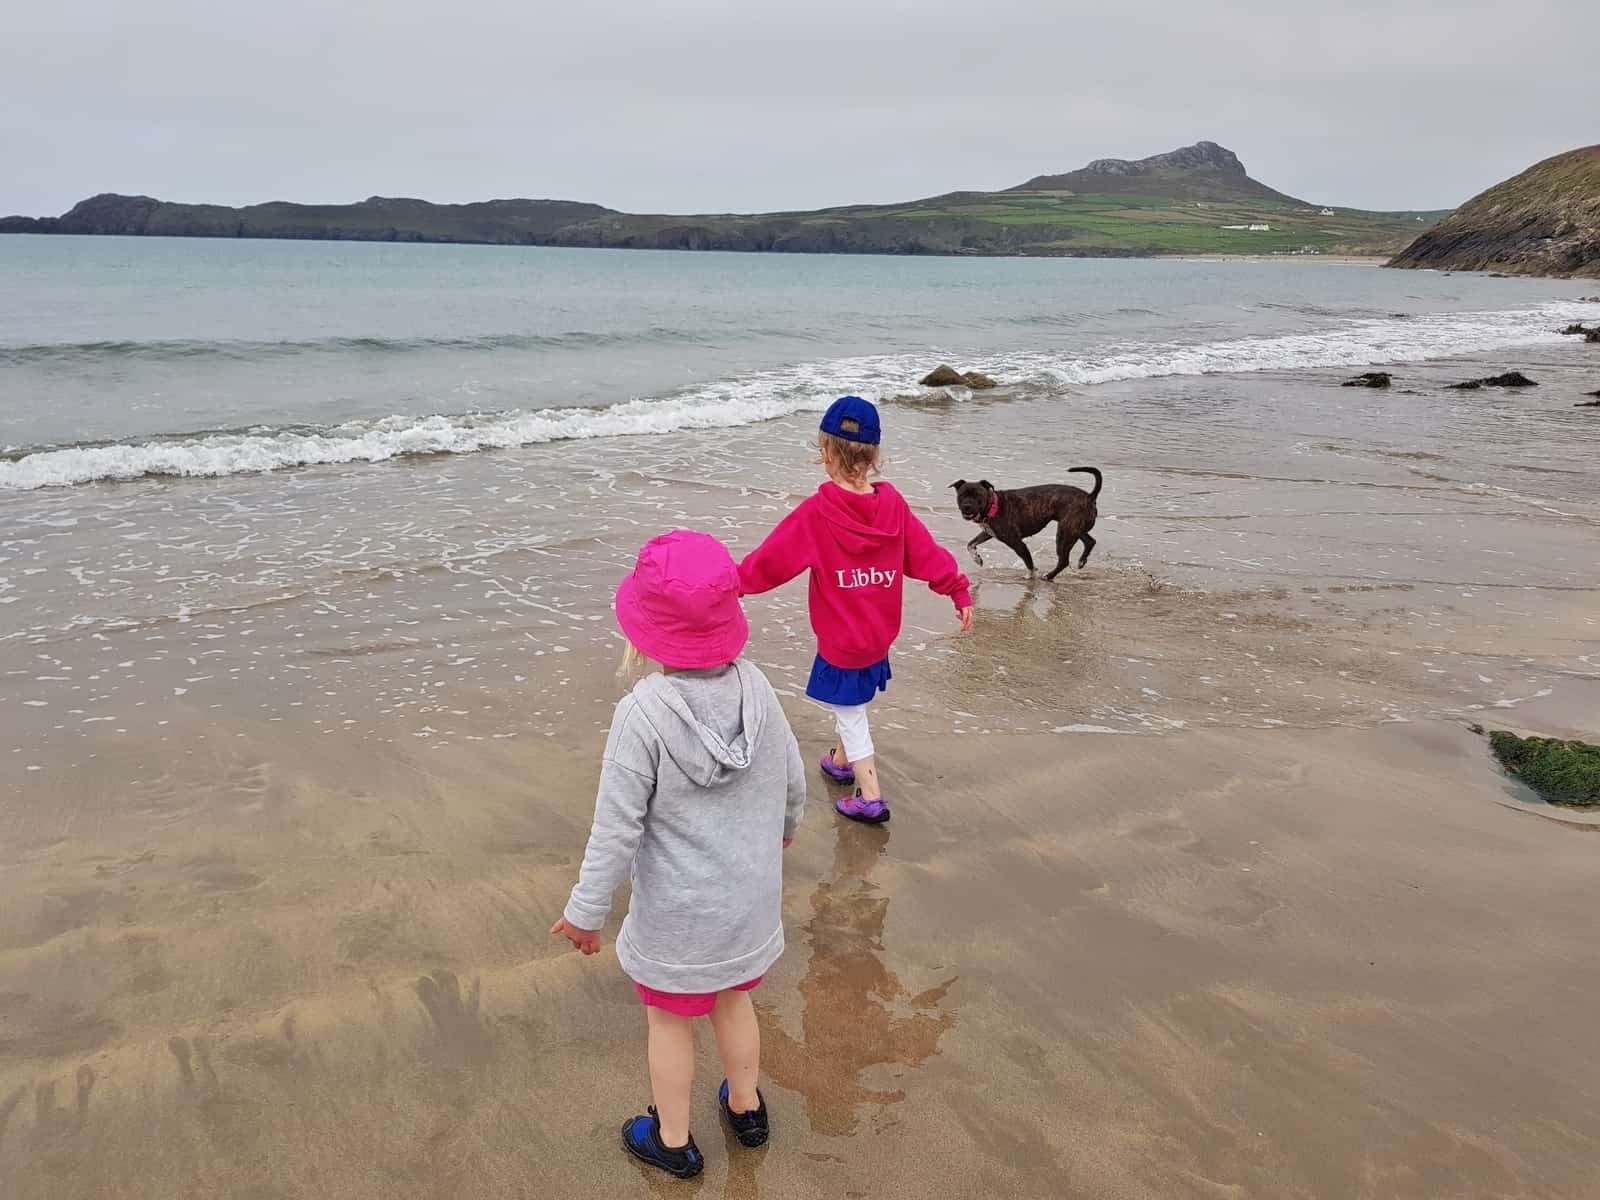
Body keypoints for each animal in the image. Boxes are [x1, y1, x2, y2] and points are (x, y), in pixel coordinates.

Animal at [947, 470, 1100, 582]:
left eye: (978, 495)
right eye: (962, 495)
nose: (967, 506)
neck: (993, 506)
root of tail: (1089, 497)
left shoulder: (1016, 542)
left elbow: (1028, 561)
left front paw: (1031, 576)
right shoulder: (989, 532)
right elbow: (970, 544)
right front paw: (977, 558)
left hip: (1065, 533)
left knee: (1063, 561)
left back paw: (1048, 576)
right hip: (1073, 528)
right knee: (1090, 541)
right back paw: (1081, 561)